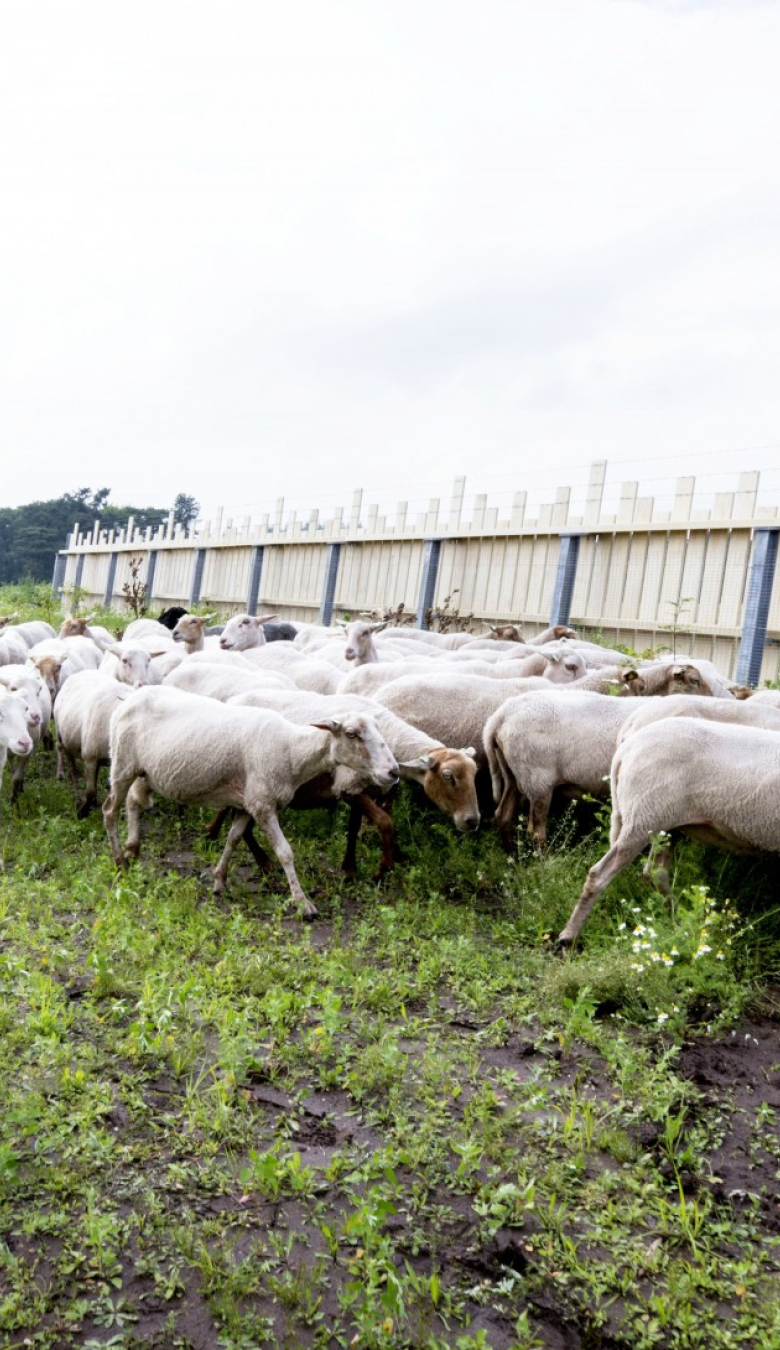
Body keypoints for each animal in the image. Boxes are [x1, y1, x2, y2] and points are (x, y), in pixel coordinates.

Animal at [103, 687, 400, 916]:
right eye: (351, 734)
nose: (393, 772)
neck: (290, 751)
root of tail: (129, 697)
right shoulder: (263, 804)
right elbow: (285, 852)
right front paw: (303, 903)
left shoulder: (248, 802)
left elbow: (234, 837)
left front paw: (219, 880)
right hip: (123, 765)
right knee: (110, 810)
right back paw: (120, 862)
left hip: (146, 772)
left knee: (133, 801)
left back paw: (133, 849)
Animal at [485, 690, 648, 850]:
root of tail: (501, 715)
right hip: (538, 780)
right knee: (536, 832)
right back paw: (545, 858)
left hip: (512, 773)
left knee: (503, 815)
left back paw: (512, 856)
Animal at [559, 718, 780, 947]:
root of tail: (625, 750)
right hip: (644, 816)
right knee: (599, 874)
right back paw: (569, 936)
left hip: (666, 824)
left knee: (655, 873)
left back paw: (679, 925)